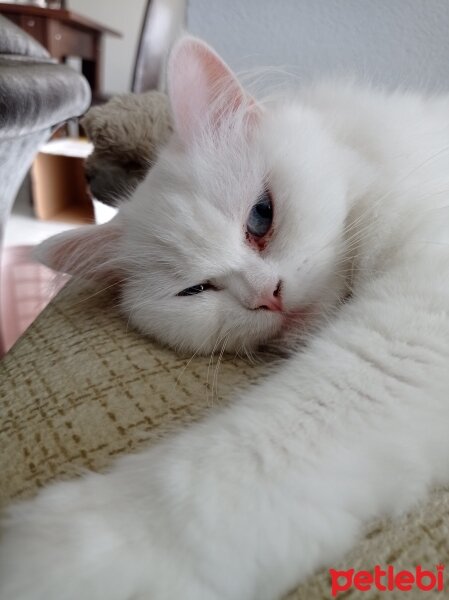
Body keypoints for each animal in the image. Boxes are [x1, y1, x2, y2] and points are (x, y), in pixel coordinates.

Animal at [0, 36, 448, 600]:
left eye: (261, 217)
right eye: (196, 290)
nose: (267, 297)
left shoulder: (414, 318)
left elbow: (224, 469)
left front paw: (62, 558)